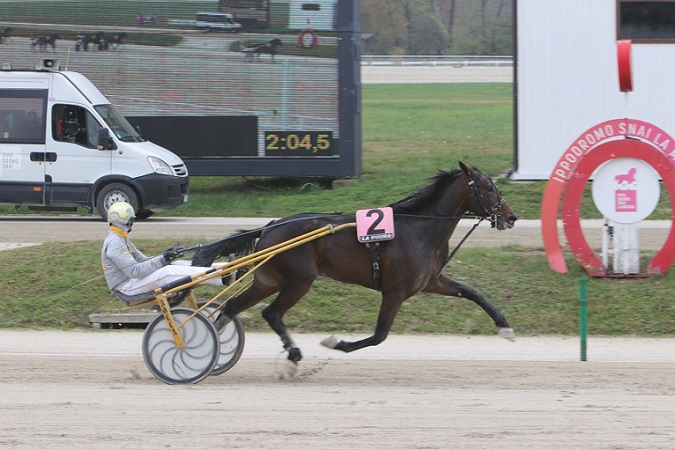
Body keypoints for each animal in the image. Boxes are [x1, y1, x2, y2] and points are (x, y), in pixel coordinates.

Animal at [192, 162, 518, 374]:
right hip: (299, 280)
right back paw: (292, 355)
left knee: (231, 308)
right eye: (489, 187)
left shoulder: (430, 281)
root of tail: (270, 226)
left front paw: (505, 327)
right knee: (271, 313)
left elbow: (472, 292)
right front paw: (336, 343)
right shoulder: (395, 290)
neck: (420, 228)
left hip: (268, 279)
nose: (511, 217)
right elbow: (379, 335)